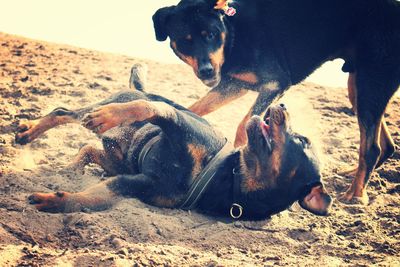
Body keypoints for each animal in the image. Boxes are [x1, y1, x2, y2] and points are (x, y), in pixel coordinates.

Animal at [14, 66, 332, 221]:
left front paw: (55, 201)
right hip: (102, 115)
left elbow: (90, 199)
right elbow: (151, 108)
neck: (229, 179)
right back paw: (31, 132)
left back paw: (72, 166)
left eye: (302, 140)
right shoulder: (181, 122)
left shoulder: (137, 184)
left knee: (91, 150)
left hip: (119, 160)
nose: (283, 104)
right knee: (64, 112)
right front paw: (109, 116)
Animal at [153, 0, 400, 205]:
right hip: (357, 86)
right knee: (386, 145)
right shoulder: (234, 84)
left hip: (371, 80)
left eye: (211, 34)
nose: (205, 70)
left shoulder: (274, 84)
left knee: (372, 147)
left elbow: (244, 123)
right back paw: (354, 174)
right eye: (185, 41)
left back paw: (355, 194)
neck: (234, 34)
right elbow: (195, 108)